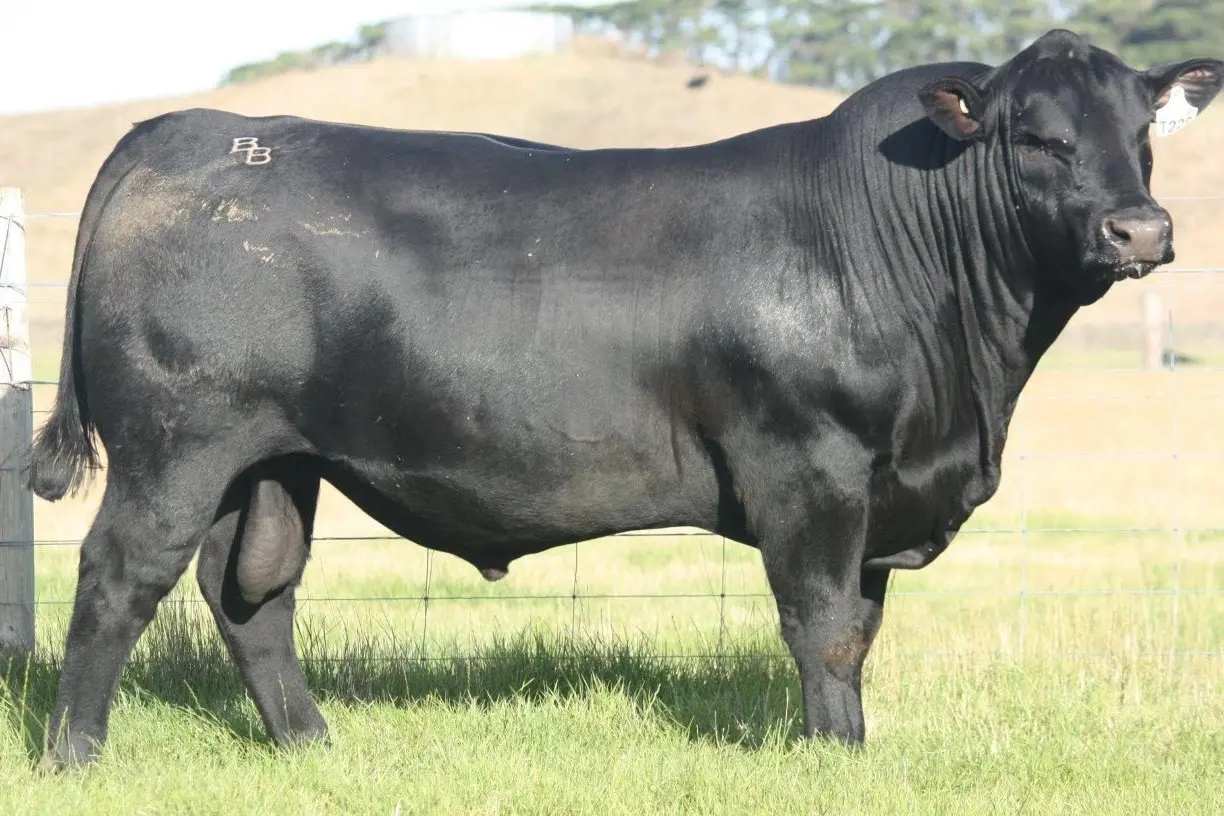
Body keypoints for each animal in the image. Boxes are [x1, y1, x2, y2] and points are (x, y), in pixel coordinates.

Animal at [28, 29, 1222, 770]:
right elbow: (825, 626)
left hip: (274, 461)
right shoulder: (811, 466)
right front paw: (836, 757)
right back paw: (74, 758)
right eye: (1039, 136)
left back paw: (316, 748)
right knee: (118, 582)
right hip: (176, 446)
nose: (1141, 229)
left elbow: (863, 627)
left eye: (1142, 134)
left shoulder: (884, 485)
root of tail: (184, 129)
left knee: (254, 595)